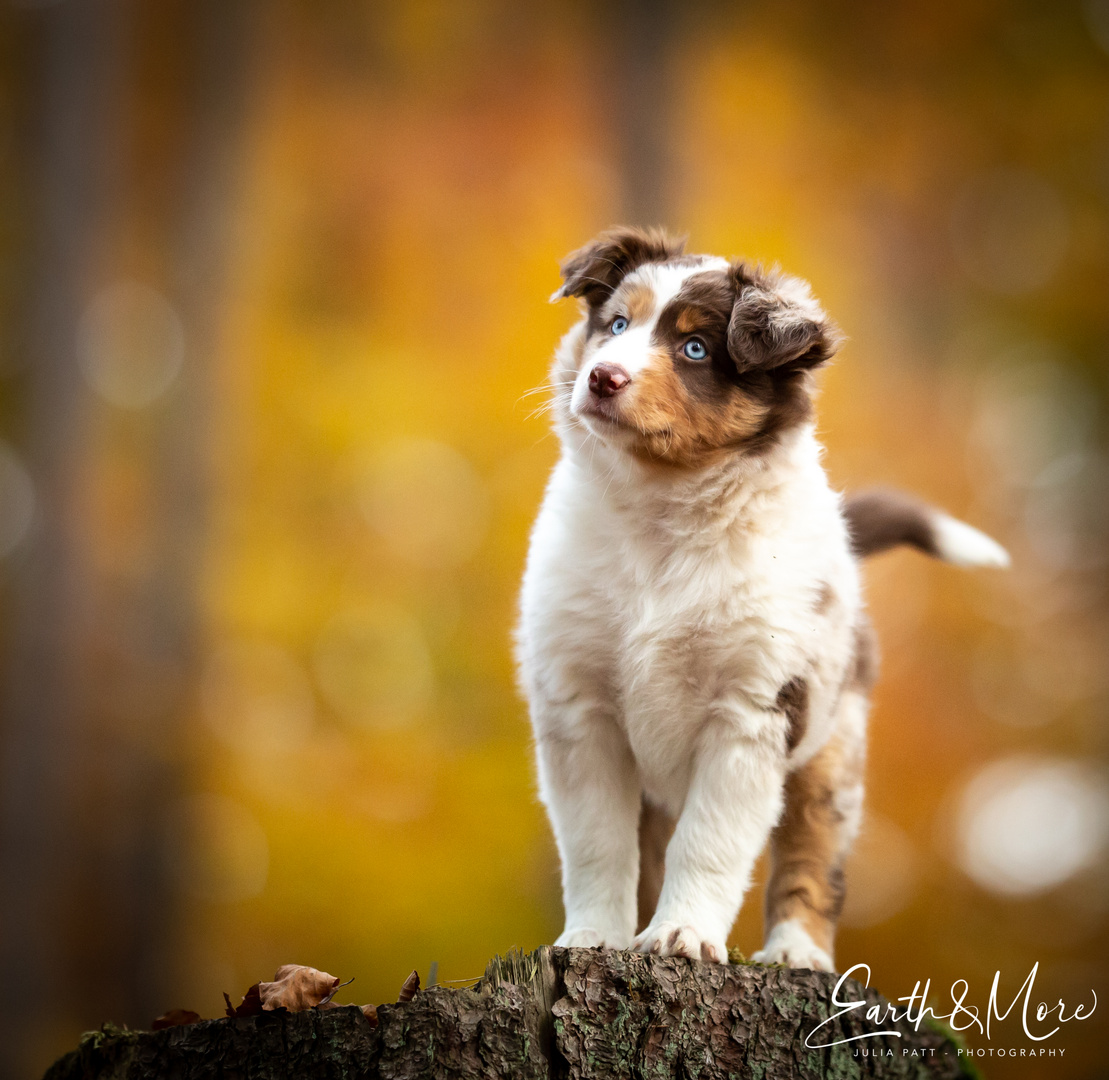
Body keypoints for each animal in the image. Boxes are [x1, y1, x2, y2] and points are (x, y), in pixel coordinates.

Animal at [514, 228, 1011, 971]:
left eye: (695, 348)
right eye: (617, 325)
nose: (601, 377)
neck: (661, 515)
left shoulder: (754, 712)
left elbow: (710, 842)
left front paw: (681, 937)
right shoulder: (580, 711)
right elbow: (598, 842)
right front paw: (594, 939)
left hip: (832, 755)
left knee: (811, 862)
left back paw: (796, 954)